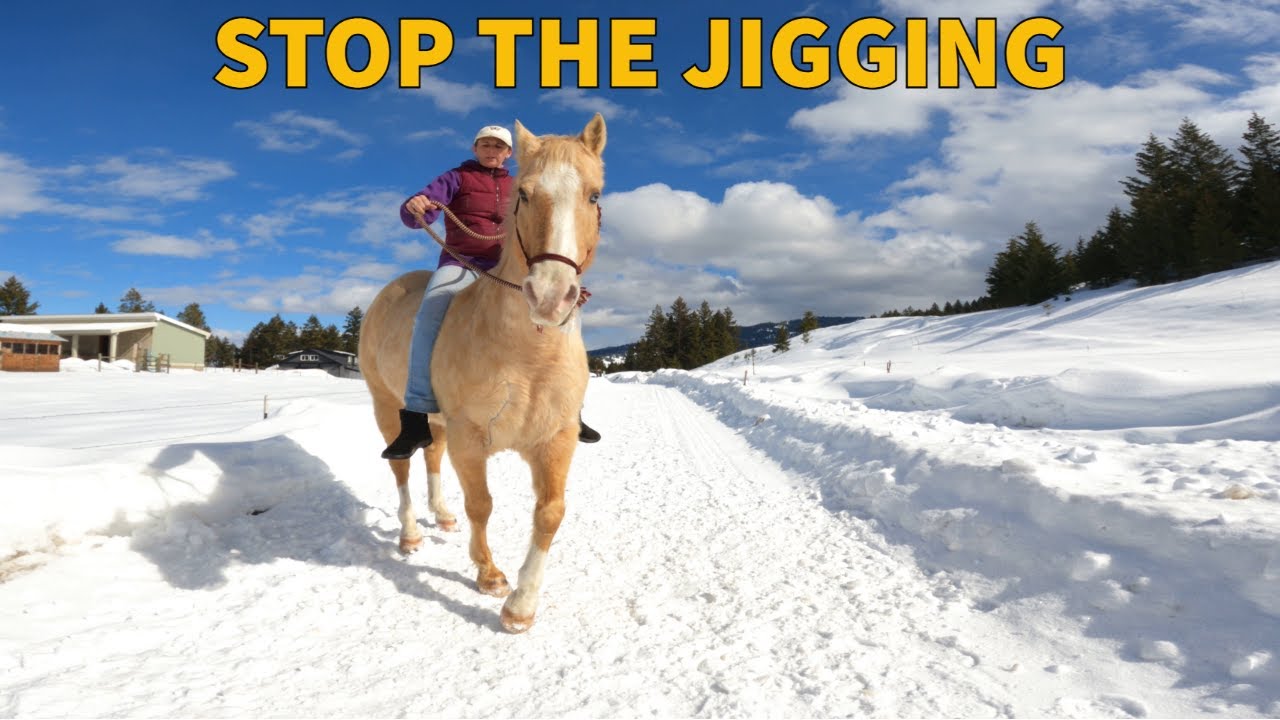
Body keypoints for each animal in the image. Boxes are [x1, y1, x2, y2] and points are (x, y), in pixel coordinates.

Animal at [359, 114, 606, 633]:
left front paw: (521, 606)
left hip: (433, 421)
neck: (529, 356)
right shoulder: (472, 439)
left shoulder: (555, 440)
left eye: (593, 195)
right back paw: (410, 534)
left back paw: (441, 515)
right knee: (402, 468)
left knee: (431, 456)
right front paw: (490, 575)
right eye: (525, 195)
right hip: (386, 407)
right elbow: (482, 504)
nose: (549, 296)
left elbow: (549, 513)